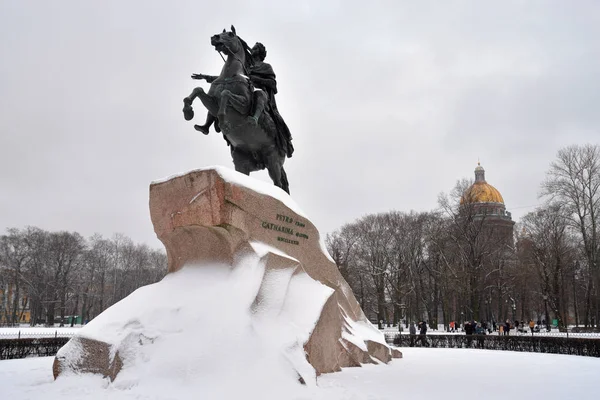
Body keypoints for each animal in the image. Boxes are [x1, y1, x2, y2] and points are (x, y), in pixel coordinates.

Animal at [183, 26, 290, 194]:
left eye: (230, 34)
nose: (214, 37)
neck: (229, 75)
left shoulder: (243, 105)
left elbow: (226, 94)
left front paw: (224, 121)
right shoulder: (212, 103)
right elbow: (198, 90)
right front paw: (188, 111)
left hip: (273, 161)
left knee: (279, 184)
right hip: (242, 162)